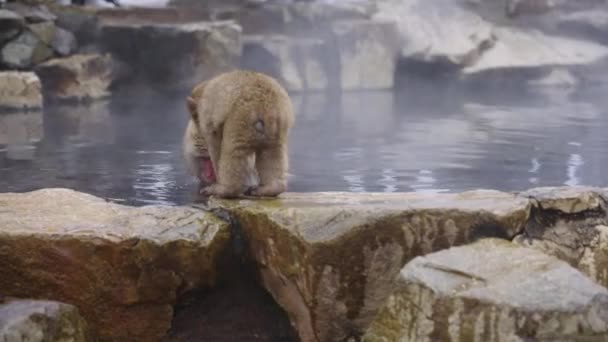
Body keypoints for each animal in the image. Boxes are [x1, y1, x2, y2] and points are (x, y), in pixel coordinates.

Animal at [183, 69, 294, 198]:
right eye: (203, 160)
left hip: (241, 117)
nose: (208, 175)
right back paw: (272, 188)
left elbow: (215, 144)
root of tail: (265, 106)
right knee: (272, 150)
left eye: (207, 160)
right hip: (280, 120)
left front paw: (218, 180)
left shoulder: (207, 117)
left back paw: (226, 189)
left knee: (231, 148)